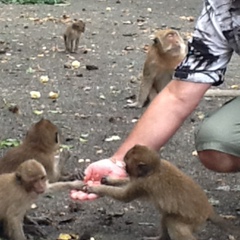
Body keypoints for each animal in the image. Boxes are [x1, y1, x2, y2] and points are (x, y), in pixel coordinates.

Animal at [86, 144, 238, 240]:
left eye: (126, 163)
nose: (125, 168)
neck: (154, 170)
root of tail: (208, 209)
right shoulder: (141, 180)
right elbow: (128, 183)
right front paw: (109, 179)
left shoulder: (144, 184)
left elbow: (125, 196)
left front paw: (94, 188)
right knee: (167, 217)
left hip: (194, 220)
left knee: (173, 223)